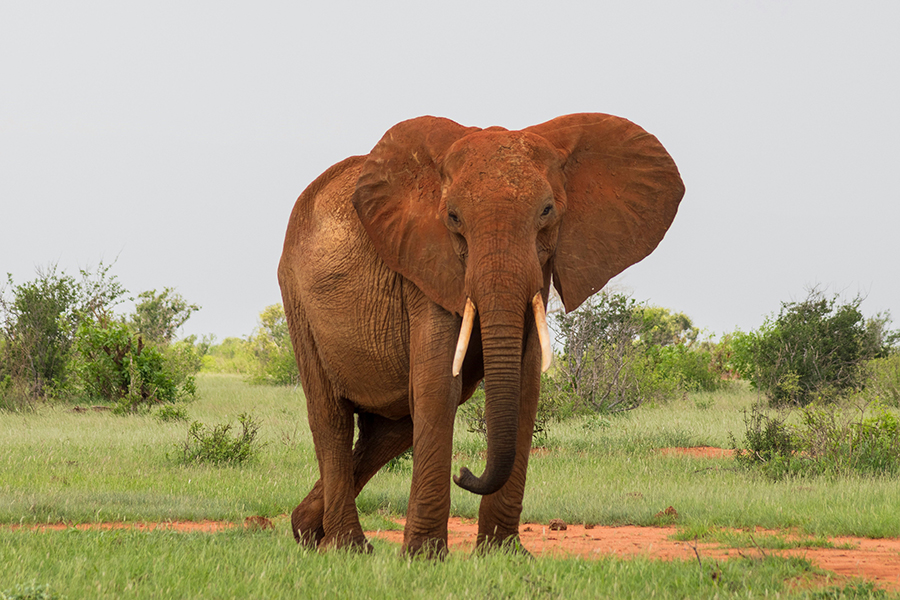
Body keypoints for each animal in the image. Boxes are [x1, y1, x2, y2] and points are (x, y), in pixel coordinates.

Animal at [276, 113, 684, 556]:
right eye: (453, 217)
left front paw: (504, 555)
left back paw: (307, 531)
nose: (464, 472)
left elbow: (523, 386)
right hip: (297, 297)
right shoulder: (426, 265)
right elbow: (440, 385)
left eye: (547, 211)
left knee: (390, 431)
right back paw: (347, 548)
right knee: (331, 418)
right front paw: (424, 557)